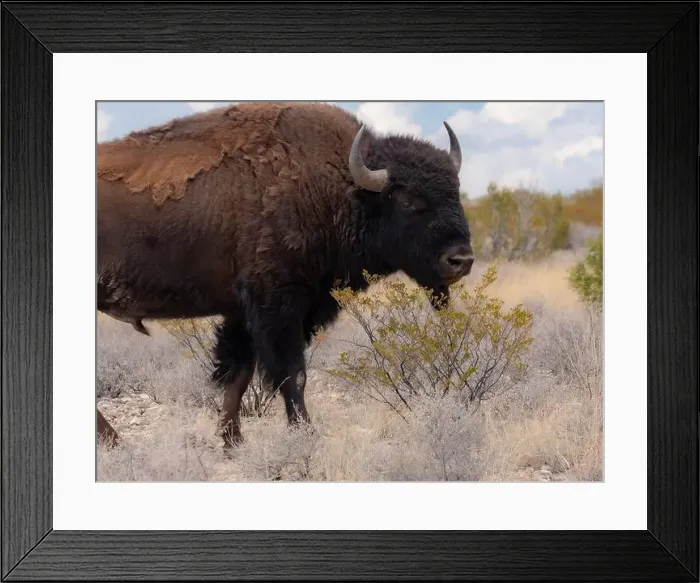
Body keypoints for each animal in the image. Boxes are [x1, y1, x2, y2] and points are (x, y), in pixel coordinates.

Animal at [96, 102, 474, 448]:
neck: (337, 188)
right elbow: (294, 374)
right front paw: (304, 435)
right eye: (407, 201)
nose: (461, 260)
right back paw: (115, 442)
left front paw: (232, 442)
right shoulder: (278, 308)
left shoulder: (246, 314)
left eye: (455, 193)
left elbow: (240, 375)